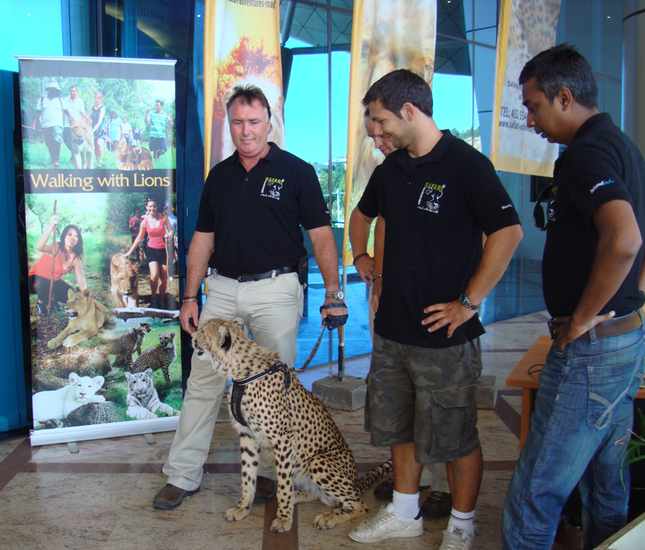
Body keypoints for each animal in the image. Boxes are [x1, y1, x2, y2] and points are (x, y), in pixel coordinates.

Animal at [191, 320, 392, 536]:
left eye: (202, 331)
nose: (192, 338)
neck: (240, 371)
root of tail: (355, 480)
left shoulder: (282, 440)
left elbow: (283, 484)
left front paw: (284, 519)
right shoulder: (247, 436)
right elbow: (247, 476)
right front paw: (243, 507)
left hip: (318, 461)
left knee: (359, 504)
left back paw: (328, 517)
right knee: (319, 495)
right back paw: (298, 497)